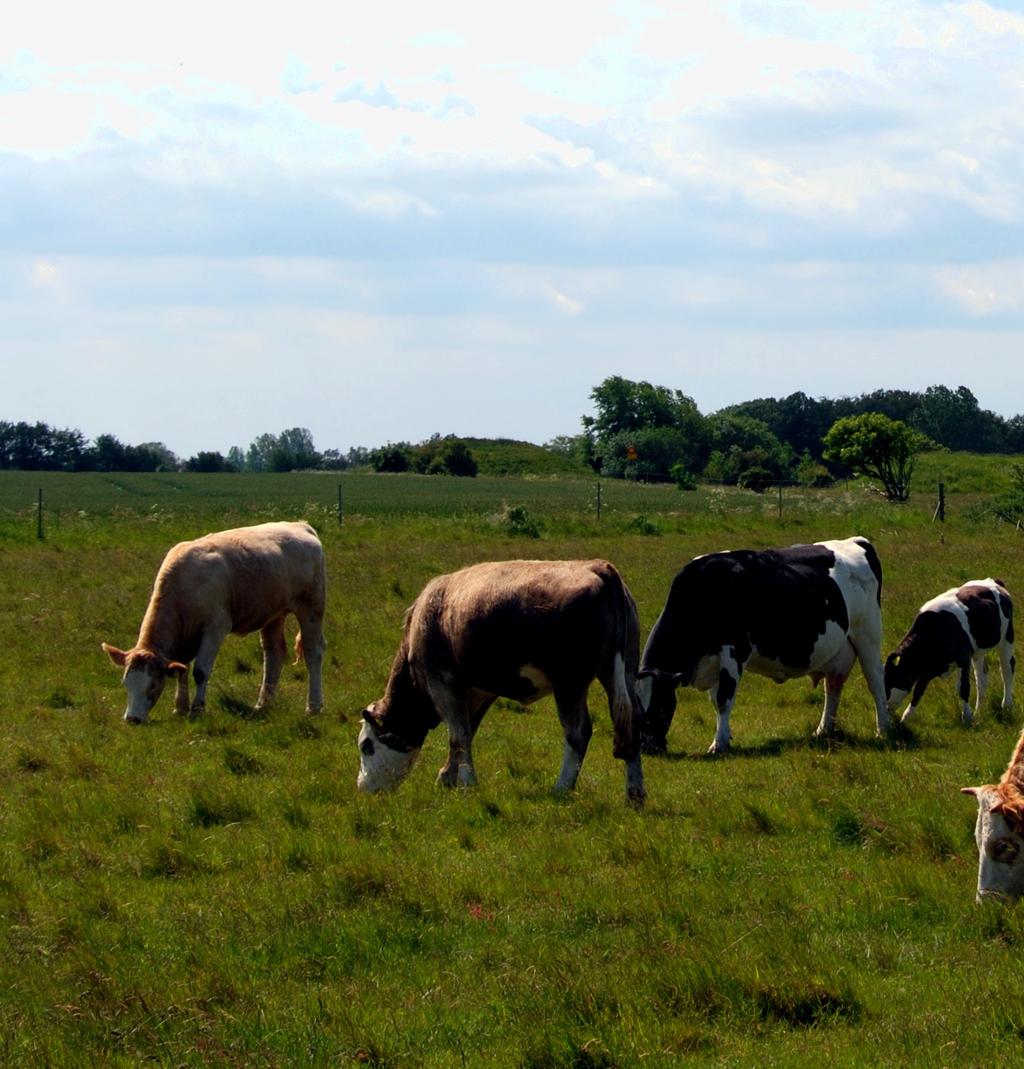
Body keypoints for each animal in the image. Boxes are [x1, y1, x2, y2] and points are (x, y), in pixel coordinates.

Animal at [102, 519, 327, 722]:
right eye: (125, 683)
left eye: (153, 685)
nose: (132, 718)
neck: (184, 587)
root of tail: (300, 525)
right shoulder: (185, 637)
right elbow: (182, 669)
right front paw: (180, 707)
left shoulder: (214, 629)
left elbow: (200, 671)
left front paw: (197, 709)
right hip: (273, 614)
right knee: (274, 654)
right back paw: (263, 704)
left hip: (311, 608)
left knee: (312, 652)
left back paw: (313, 706)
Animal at [357, 560, 645, 803]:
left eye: (366, 746)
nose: (362, 787)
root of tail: (598, 566)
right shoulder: (478, 692)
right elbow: (465, 733)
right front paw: (448, 777)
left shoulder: (442, 685)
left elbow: (459, 736)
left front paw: (467, 783)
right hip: (622, 675)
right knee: (631, 724)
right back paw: (635, 793)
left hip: (569, 684)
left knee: (578, 732)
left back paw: (562, 788)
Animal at [641, 534, 889, 752]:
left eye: (660, 708)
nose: (648, 747)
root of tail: (855, 541)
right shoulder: (712, 659)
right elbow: (715, 700)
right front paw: (726, 736)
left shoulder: (734, 651)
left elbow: (724, 698)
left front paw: (718, 744)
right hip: (839, 649)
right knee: (833, 686)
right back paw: (823, 730)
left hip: (867, 633)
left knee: (875, 680)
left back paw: (883, 729)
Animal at [885, 577, 1013, 726]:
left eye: (890, 681)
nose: (885, 708)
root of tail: (992, 581)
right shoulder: (928, 668)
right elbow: (919, 690)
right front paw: (906, 717)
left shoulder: (964, 658)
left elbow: (963, 688)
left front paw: (967, 716)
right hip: (978, 652)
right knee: (982, 679)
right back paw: (979, 711)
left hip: (1007, 638)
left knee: (1007, 670)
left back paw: (1007, 706)